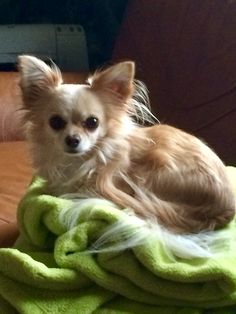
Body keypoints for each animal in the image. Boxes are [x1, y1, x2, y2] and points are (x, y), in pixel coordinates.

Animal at [18, 55, 236, 234]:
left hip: (154, 168)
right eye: (55, 122)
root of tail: (224, 209)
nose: (73, 140)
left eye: (92, 122)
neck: (81, 160)